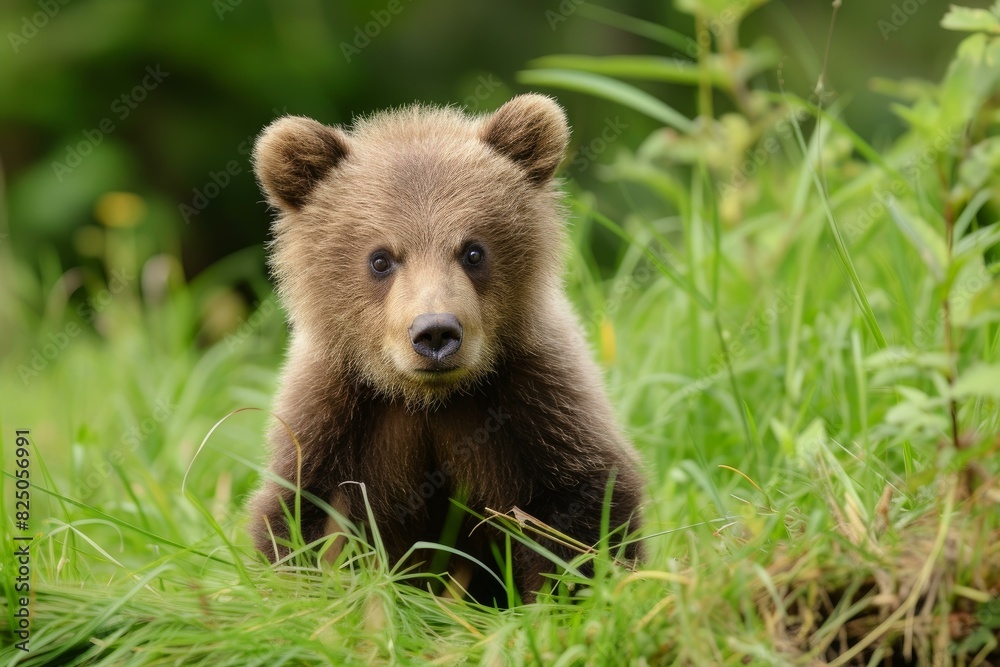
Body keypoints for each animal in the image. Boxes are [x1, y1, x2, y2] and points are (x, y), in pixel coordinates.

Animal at [248, 94, 645, 604]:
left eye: (473, 250)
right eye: (380, 258)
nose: (435, 332)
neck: (429, 400)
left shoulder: (537, 399)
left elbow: (577, 512)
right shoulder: (335, 416)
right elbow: (303, 519)